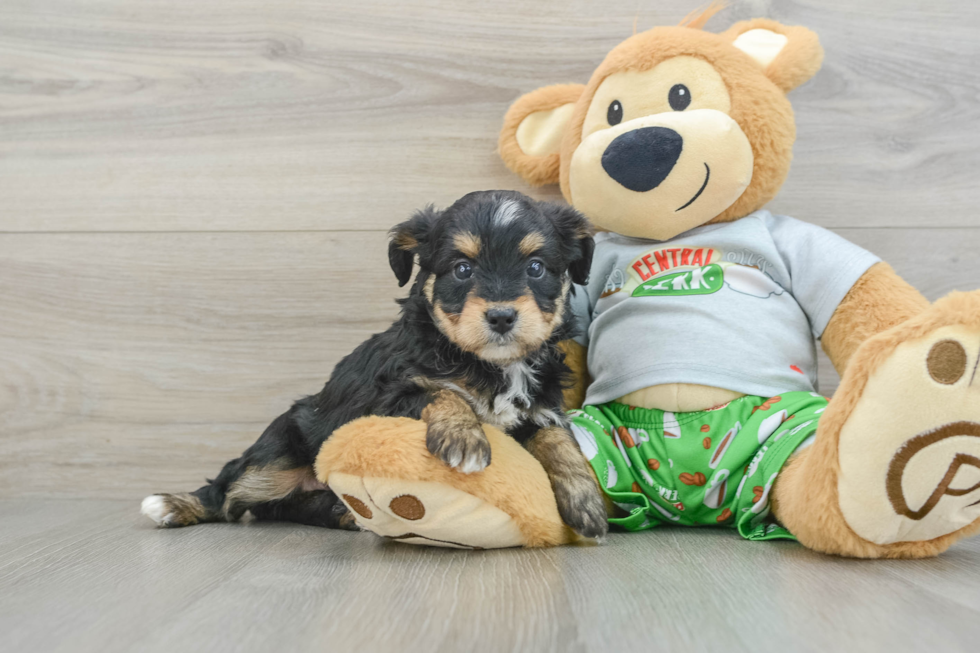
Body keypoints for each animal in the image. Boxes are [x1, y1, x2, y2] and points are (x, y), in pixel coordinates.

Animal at [142, 191, 608, 536]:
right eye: (462, 269)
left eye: (536, 268)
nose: (501, 316)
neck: (490, 364)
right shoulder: (390, 395)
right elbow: (442, 393)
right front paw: (464, 438)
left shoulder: (541, 407)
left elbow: (559, 439)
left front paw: (586, 501)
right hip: (278, 453)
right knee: (230, 491)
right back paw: (173, 504)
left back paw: (344, 514)